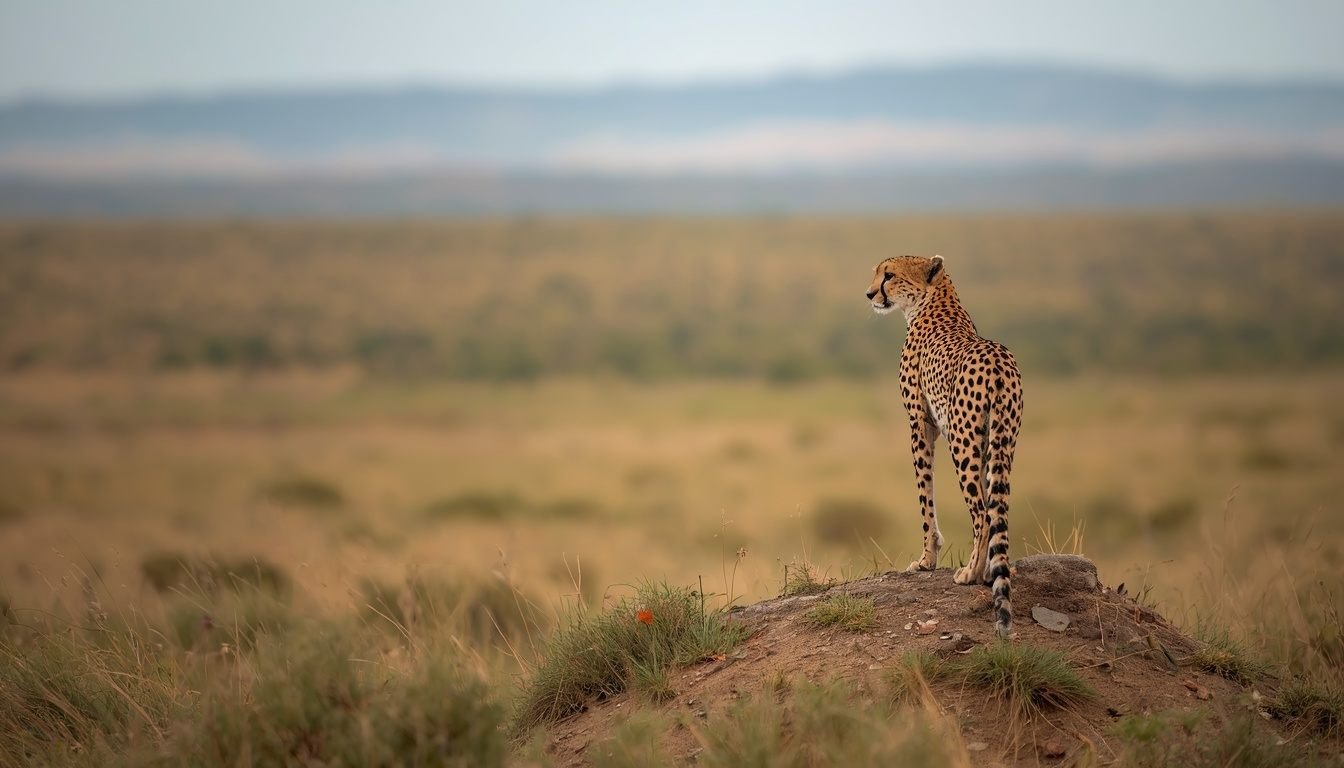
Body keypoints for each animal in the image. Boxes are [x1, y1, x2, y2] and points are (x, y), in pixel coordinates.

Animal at [865, 254, 1023, 638]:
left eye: (888, 275)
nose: (869, 294)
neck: (932, 302)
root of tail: (998, 358)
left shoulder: (920, 423)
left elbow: (925, 495)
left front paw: (927, 560)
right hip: (1003, 443)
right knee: (997, 508)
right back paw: (991, 572)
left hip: (963, 442)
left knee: (981, 512)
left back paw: (971, 573)